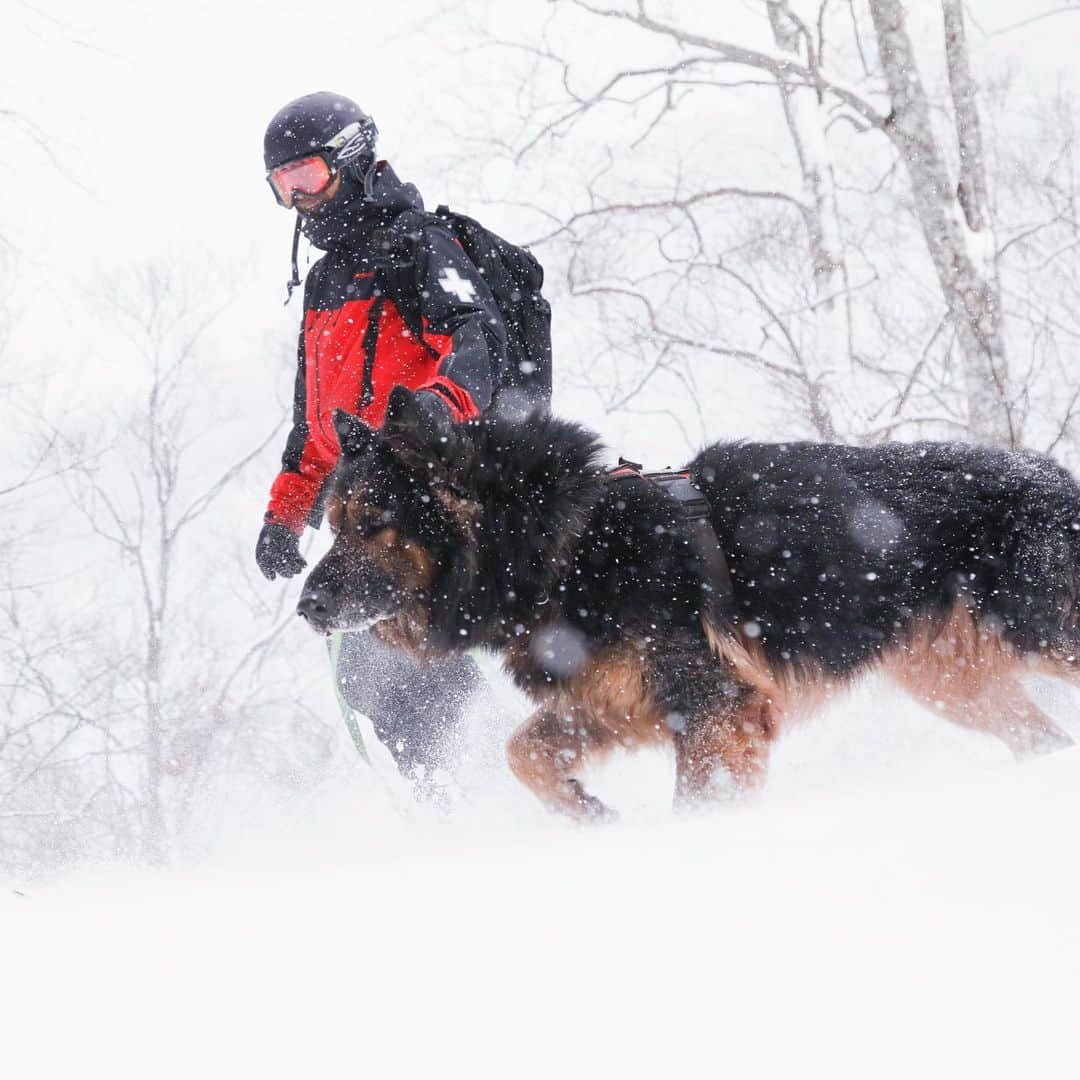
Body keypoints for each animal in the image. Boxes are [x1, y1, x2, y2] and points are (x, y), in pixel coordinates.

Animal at [298, 388, 1080, 816]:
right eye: (332, 525)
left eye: (371, 524)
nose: (306, 608)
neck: (562, 542)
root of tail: (1054, 473)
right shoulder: (610, 701)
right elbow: (521, 753)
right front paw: (587, 813)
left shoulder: (714, 708)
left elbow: (698, 804)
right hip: (953, 684)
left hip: (1043, 637)